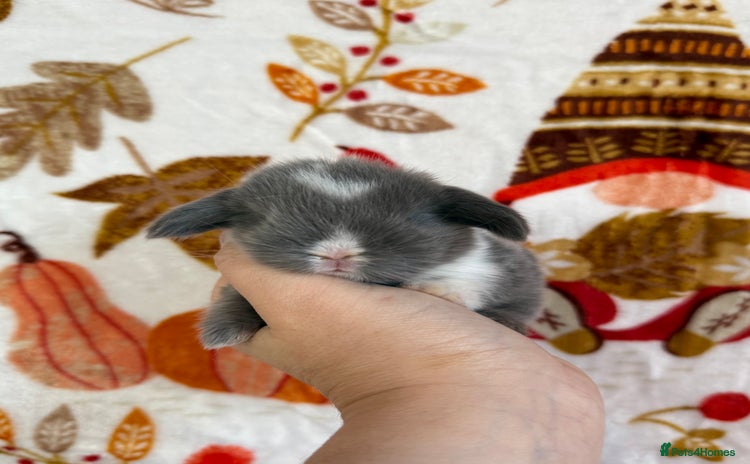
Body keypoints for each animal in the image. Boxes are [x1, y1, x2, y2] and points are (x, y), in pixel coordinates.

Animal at [147, 157, 544, 349]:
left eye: (410, 219)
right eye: (268, 218)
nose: (336, 253)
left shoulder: (482, 265)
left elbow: (464, 280)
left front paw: (432, 289)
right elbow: (236, 299)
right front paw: (221, 332)